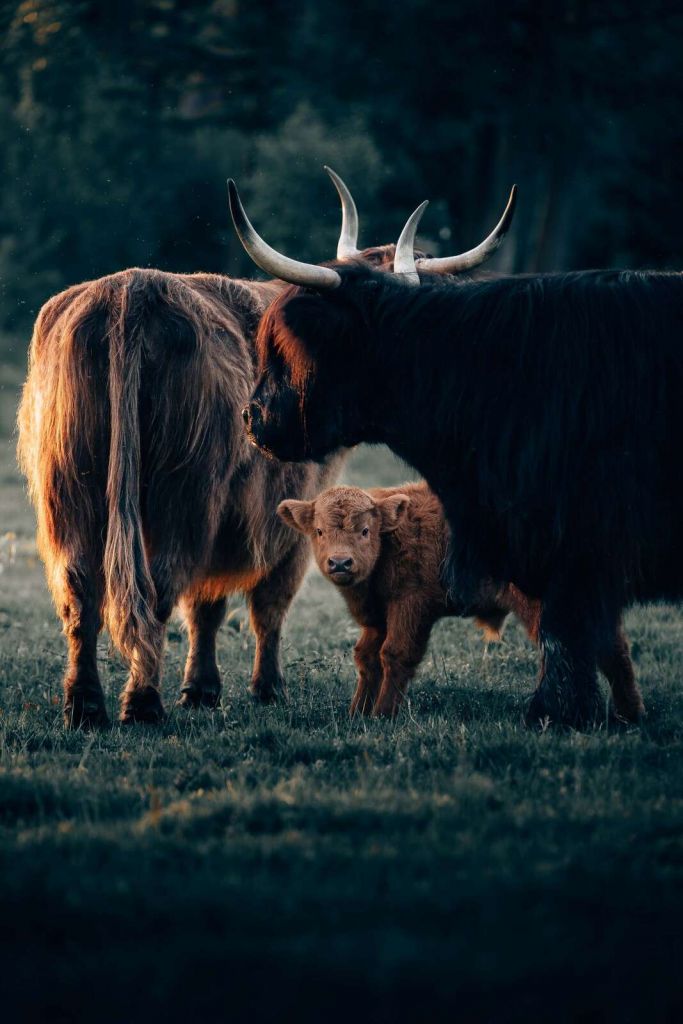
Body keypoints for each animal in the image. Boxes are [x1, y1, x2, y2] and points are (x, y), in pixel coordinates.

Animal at [277, 483, 643, 722]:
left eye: (366, 530)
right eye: (319, 531)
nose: (340, 563)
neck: (392, 536)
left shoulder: (411, 607)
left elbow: (395, 655)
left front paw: (382, 716)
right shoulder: (379, 617)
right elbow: (367, 657)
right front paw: (357, 714)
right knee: (608, 648)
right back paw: (627, 715)